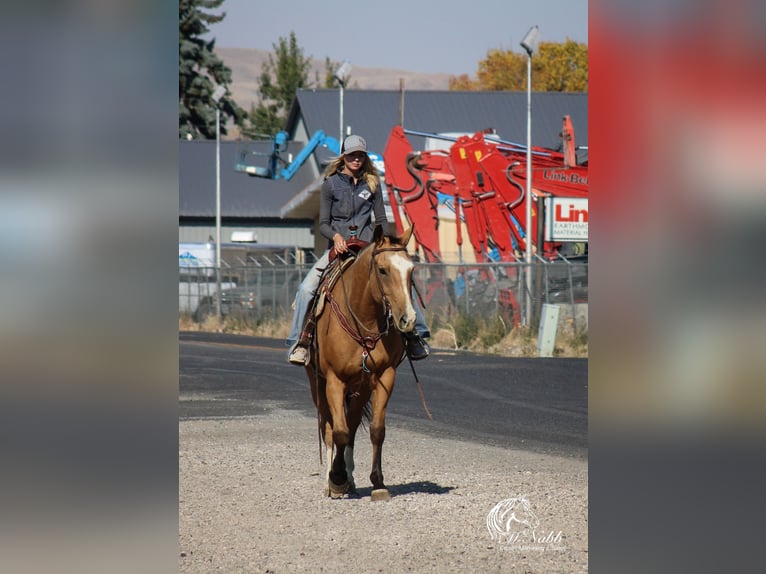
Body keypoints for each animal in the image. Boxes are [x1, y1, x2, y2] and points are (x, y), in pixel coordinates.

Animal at [306, 226, 416, 504]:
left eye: (411, 270)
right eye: (383, 270)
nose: (408, 320)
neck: (364, 319)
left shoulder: (384, 376)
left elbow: (376, 430)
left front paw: (377, 482)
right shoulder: (334, 380)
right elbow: (338, 432)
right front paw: (336, 480)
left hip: (361, 388)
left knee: (353, 424)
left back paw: (351, 479)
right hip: (317, 383)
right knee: (329, 427)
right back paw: (332, 482)